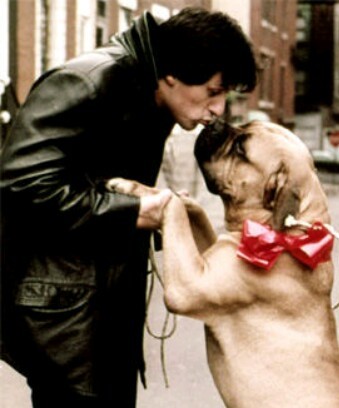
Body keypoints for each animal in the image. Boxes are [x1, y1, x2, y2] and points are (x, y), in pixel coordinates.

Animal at [107, 120, 339, 408]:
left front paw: (151, 197)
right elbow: (189, 205)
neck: (290, 233)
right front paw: (134, 187)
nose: (215, 122)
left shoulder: (189, 285)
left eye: (240, 148)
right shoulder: (205, 255)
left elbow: (175, 206)